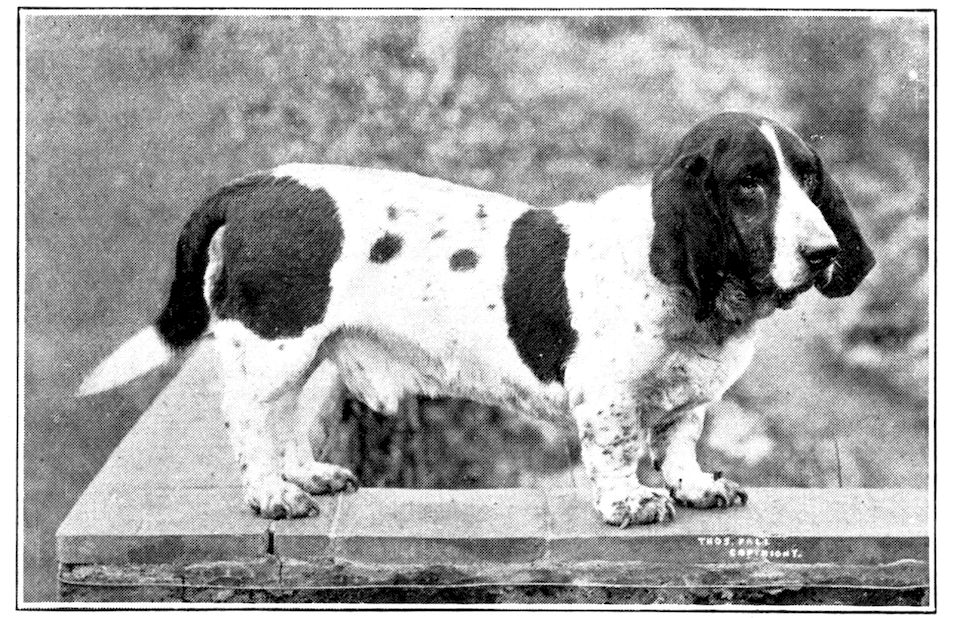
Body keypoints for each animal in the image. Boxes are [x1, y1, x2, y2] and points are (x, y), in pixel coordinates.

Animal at [79, 112, 875, 526]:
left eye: (807, 176)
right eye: (748, 185)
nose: (824, 253)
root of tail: (251, 188)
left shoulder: (690, 400)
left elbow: (679, 441)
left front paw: (695, 485)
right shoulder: (606, 397)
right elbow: (619, 452)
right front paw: (630, 502)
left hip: (305, 354)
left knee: (286, 423)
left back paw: (306, 478)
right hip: (272, 349)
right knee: (249, 422)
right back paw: (271, 495)